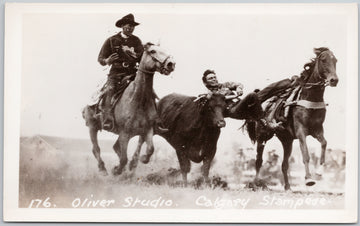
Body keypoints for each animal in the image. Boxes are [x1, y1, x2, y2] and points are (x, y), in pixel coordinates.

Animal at [83, 42, 176, 177]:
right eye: (153, 51)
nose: (171, 64)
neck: (138, 99)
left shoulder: (147, 130)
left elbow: (150, 149)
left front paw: (140, 160)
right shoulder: (124, 133)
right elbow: (123, 158)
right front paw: (117, 170)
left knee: (115, 147)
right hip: (92, 126)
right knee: (96, 149)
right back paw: (103, 169)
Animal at [246, 47, 338, 189]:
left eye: (336, 60)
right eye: (323, 60)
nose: (334, 80)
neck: (310, 98)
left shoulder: (317, 129)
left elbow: (324, 143)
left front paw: (319, 172)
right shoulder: (301, 131)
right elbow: (305, 154)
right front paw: (308, 179)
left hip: (287, 141)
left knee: (284, 164)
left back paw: (288, 187)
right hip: (262, 136)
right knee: (259, 161)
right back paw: (255, 183)